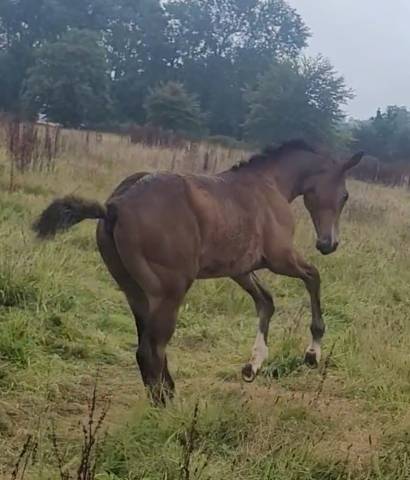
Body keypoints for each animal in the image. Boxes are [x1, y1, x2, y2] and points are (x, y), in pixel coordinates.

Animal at [33, 141, 364, 404]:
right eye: (346, 195)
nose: (328, 244)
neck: (270, 185)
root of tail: (115, 205)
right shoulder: (279, 258)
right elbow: (313, 277)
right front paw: (312, 353)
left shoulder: (239, 269)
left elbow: (266, 301)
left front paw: (252, 366)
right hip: (171, 290)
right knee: (152, 349)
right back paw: (166, 406)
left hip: (135, 292)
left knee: (146, 346)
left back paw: (166, 396)